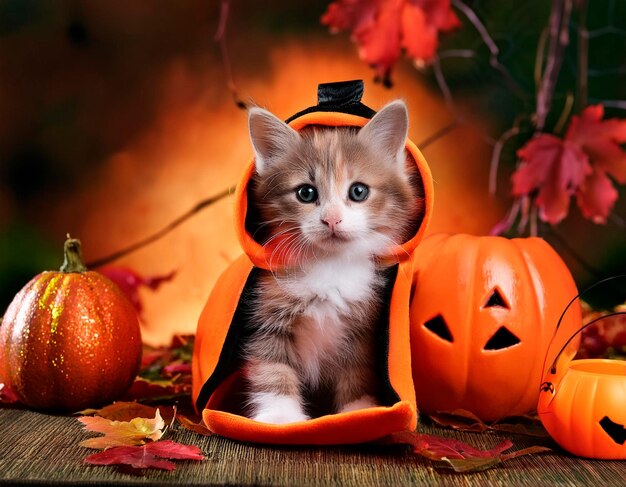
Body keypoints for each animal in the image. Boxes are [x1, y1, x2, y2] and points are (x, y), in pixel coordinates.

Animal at [241, 101, 422, 426]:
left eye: (358, 191)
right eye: (306, 192)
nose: (332, 219)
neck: (329, 264)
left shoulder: (364, 328)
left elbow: (359, 369)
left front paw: (358, 409)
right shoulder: (266, 314)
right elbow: (272, 366)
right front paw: (281, 416)